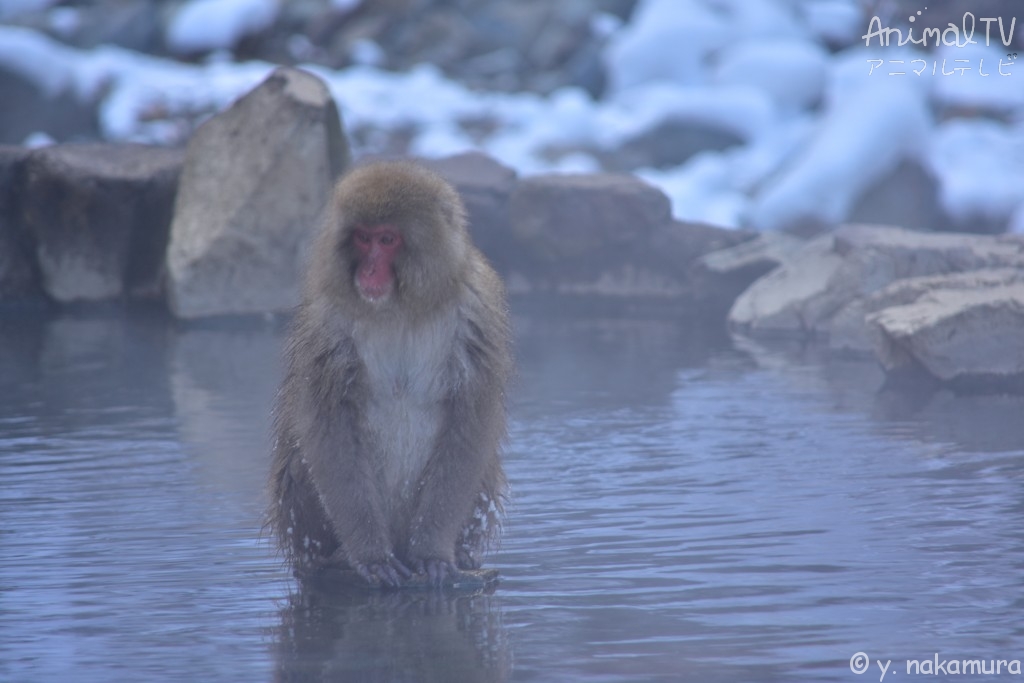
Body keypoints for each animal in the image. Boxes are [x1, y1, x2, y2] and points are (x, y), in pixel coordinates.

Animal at [270, 160, 512, 589]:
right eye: (362, 238)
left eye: (387, 239)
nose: (368, 270)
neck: (400, 307)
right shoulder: (327, 321)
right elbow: (329, 426)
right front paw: (371, 557)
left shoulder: (477, 311)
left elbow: (470, 420)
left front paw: (432, 553)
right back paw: (330, 560)